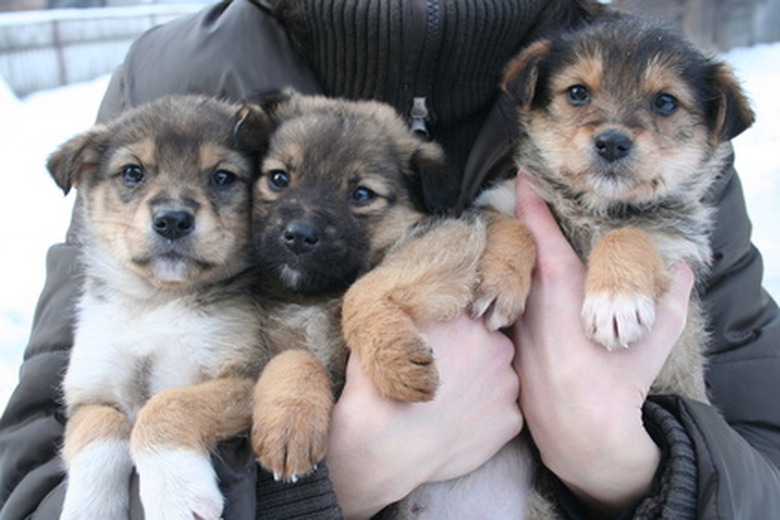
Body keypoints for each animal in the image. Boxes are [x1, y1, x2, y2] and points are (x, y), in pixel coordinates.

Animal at [48, 94, 270, 520]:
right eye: (133, 173)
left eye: (222, 177)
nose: (172, 220)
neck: (156, 303)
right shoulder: (88, 392)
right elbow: (100, 428)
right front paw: (89, 507)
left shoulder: (247, 373)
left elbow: (168, 405)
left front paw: (176, 494)